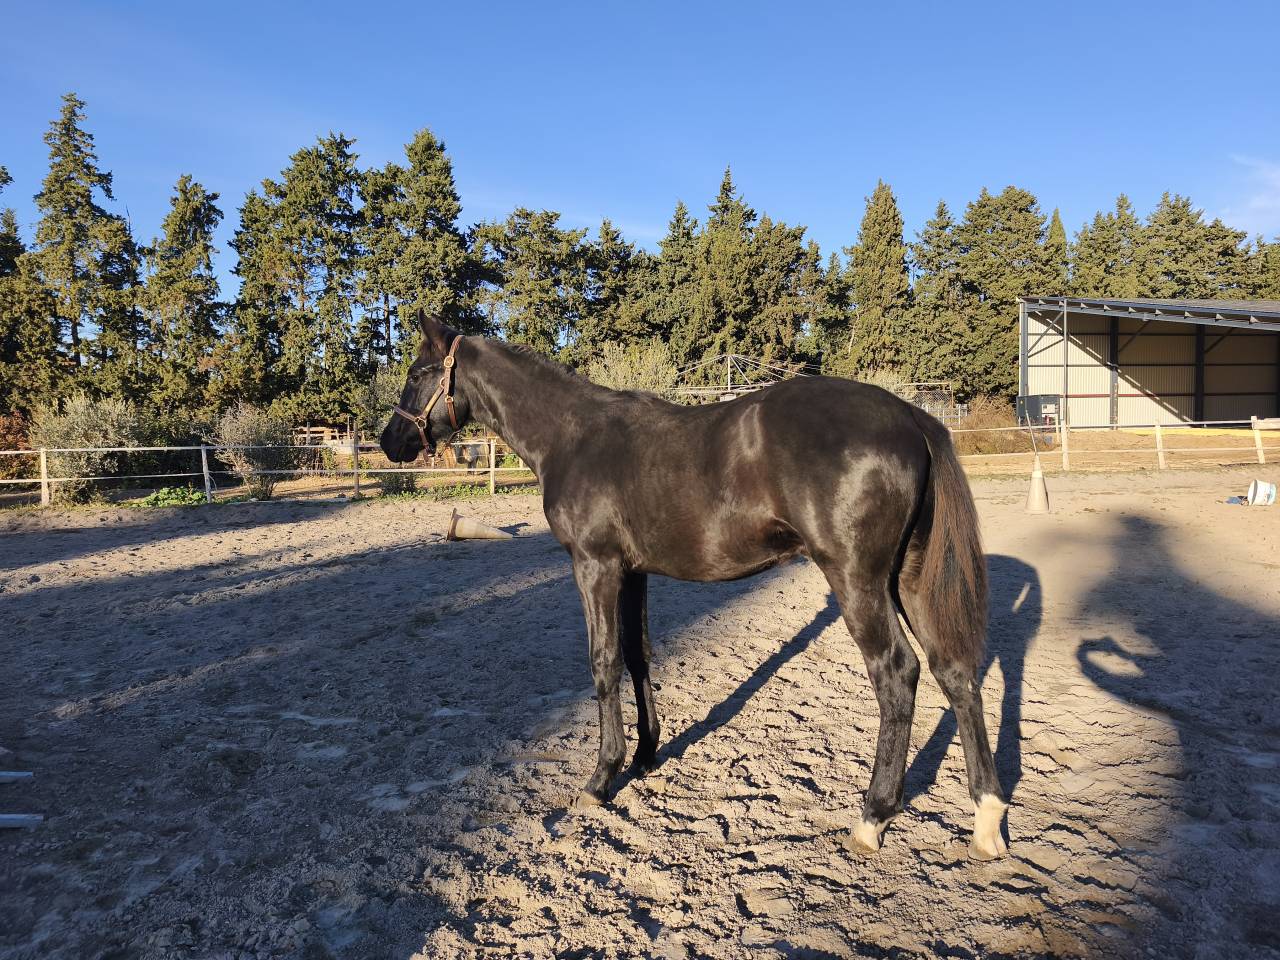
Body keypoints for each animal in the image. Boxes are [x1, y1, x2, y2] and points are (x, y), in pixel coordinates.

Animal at [381, 312, 1008, 860]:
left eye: (416, 373)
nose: (391, 443)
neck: (572, 436)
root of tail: (911, 416)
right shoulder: (632, 571)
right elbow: (638, 655)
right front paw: (645, 754)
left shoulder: (595, 566)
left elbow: (603, 662)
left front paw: (601, 778)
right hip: (908, 579)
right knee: (954, 672)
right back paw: (987, 817)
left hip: (858, 581)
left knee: (897, 673)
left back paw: (873, 816)